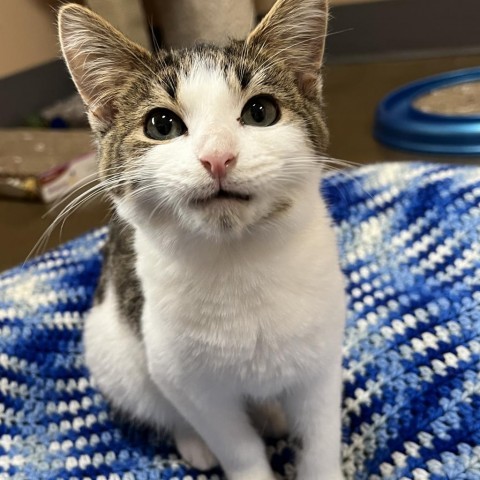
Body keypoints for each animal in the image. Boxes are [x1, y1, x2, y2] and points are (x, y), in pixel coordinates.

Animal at [59, 0, 344, 480]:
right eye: (161, 124)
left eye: (261, 112)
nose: (218, 157)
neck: (239, 261)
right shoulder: (188, 382)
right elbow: (235, 443)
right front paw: (241, 459)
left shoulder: (322, 357)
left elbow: (320, 439)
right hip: (114, 353)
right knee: (161, 407)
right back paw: (196, 442)